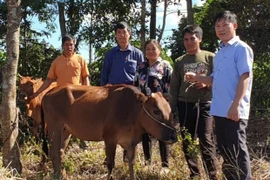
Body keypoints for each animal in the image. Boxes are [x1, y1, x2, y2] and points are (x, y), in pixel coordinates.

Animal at [41, 83, 177, 179]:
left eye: (170, 110)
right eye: (156, 111)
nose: (173, 136)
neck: (131, 111)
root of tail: (48, 93)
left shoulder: (131, 143)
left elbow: (131, 165)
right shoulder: (109, 139)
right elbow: (111, 165)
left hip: (66, 131)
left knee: (59, 153)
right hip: (54, 128)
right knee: (54, 153)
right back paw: (58, 176)